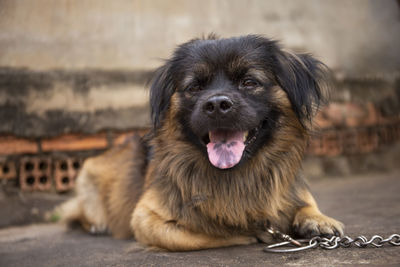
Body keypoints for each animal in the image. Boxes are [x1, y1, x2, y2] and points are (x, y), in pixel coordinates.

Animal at [57, 35, 346, 251]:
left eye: (249, 82)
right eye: (195, 87)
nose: (217, 104)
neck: (236, 175)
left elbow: (306, 202)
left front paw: (317, 220)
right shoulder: (144, 218)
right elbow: (208, 233)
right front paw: (251, 233)